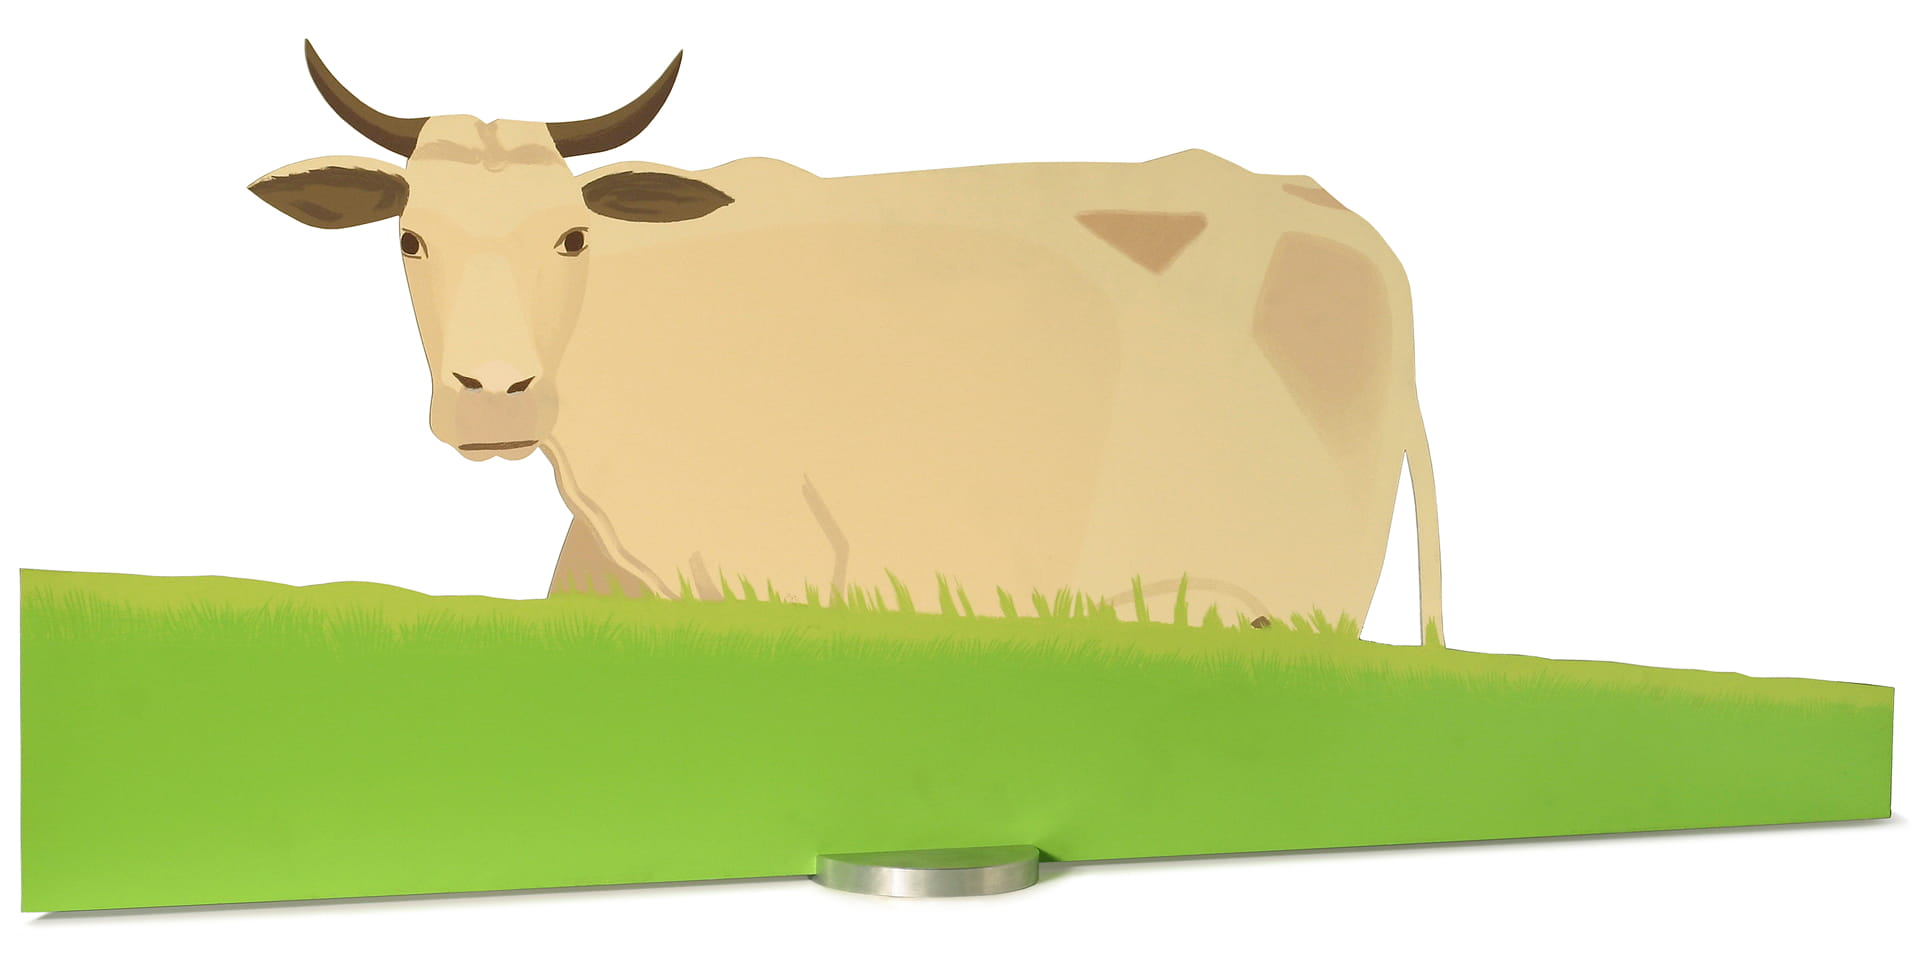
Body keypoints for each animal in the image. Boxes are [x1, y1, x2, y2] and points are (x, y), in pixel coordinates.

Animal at [250, 43, 1447, 646]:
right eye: (408, 237)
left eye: (573, 234)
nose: (492, 390)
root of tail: (1323, 204)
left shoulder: (764, 572)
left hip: (1299, 598)